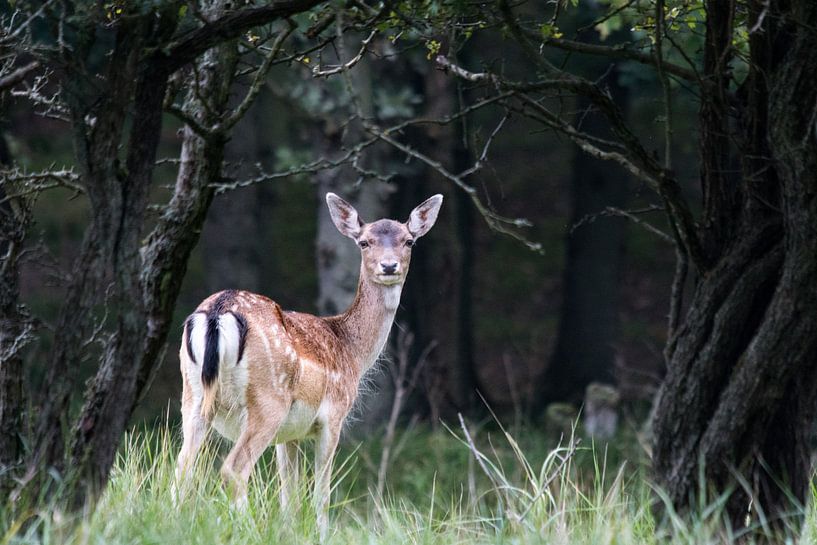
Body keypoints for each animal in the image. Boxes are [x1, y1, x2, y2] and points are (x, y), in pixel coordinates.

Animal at [172, 190, 440, 536]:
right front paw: (322, 533)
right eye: (364, 242)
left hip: (192, 395)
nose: (389, 265)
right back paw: (250, 530)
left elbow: (289, 496)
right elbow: (320, 494)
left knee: (183, 467)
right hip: (268, 401)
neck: (351, 350)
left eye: (408, 241)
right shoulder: (333, 416)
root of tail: (218, 312)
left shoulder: (290, 435)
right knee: (233, 469)